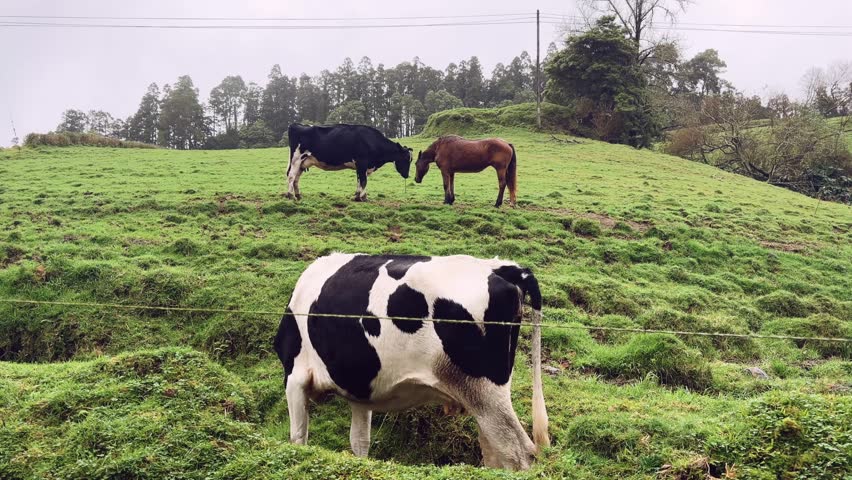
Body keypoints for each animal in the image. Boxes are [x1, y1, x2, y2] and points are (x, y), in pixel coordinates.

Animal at [273, 253, 550, 470]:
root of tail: (502, 268)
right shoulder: (361, 394)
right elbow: (359, 442)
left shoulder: (295, 377)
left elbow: (298, 437)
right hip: (483, 398)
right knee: (494, 452)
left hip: (483, 390)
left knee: (519, 453)